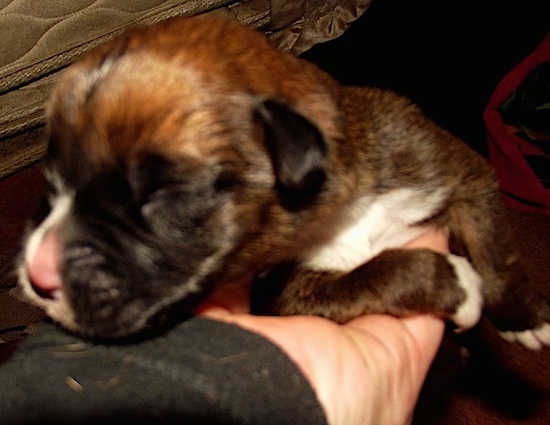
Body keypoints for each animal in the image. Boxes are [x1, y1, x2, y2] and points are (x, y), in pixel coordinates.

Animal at [17, 16, 550, 348]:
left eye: (158, 196)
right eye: (53, 185)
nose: (35, 276)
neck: (340, 216)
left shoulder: (456, 170)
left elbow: (497, 255)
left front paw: (523, 319)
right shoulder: (284, 294)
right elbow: (370, 275)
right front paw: (455, 283)